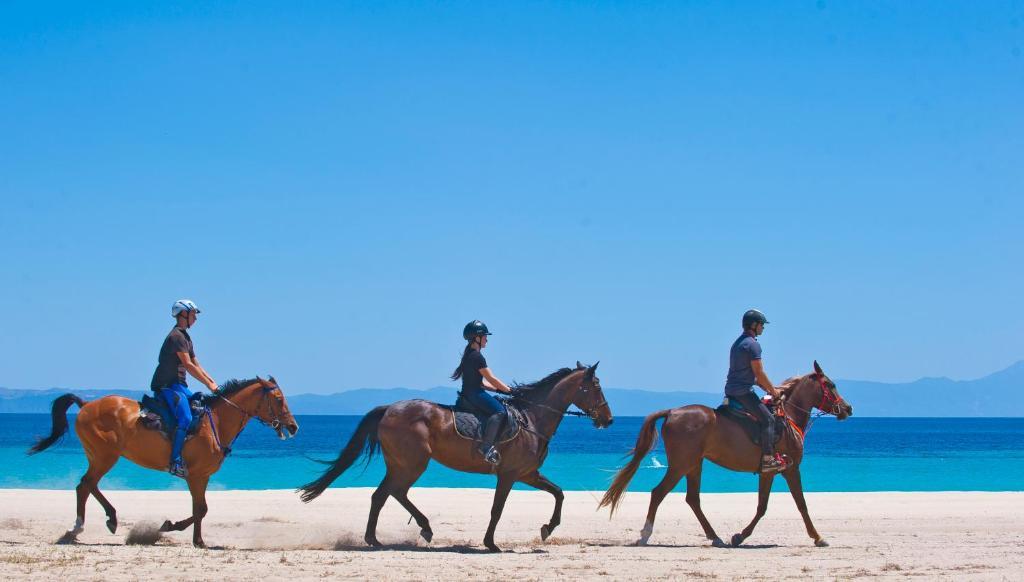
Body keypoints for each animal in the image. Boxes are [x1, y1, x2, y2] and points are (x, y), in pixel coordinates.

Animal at [28, 377, 299, 545]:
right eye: (278, 399)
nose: (293, 426)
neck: (218, 422)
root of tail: (86, 404)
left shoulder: (203, 476)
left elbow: (200, 509)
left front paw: (184, 533)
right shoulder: (196, 476)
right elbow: (200, 509)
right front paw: (184, 534)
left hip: (99, 456)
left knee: (87, 485)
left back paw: (108, 519)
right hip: (105, 456)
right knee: (85, 485)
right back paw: (80, 527)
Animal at [299, 364, 610, 549]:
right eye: (596, 386)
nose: (608, 419)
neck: (532, 419)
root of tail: (389, 409)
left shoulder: (527, 474)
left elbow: (559, 493)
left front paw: (548, 528)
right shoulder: (509, 475)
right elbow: (498, 509)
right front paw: (490, 544)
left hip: (400, 464)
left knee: (382, 495)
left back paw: (375, 538)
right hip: (412, 464)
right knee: (394, 492)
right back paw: (419, 529)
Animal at [598, 360, 856, 549]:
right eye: (830, 385)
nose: (848, 408)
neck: (788, 418)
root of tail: (671, 412)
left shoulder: (768, 473)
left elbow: (762, 506)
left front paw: (739, 536)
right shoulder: (791, 469)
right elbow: (801, 504)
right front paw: (818, 537)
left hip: (694, 464)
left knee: (693, 499)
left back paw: (715, 537)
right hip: (681, 464)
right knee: (658, 493)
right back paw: (645, 534)